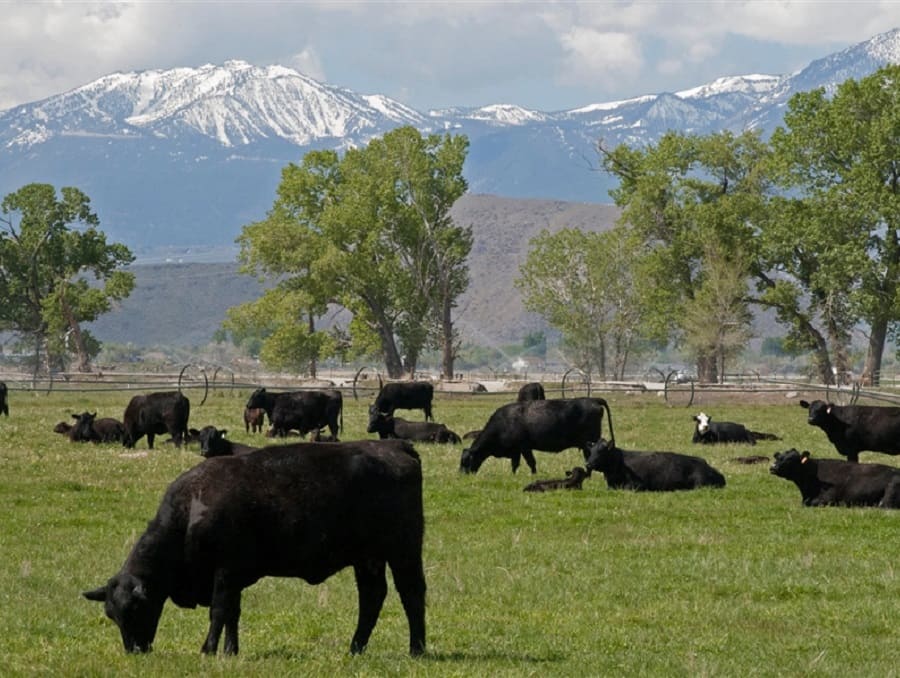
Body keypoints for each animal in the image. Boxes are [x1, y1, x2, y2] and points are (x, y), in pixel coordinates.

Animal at [82, 440, 428, 660]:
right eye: (112, 614)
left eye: (135, 608)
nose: (134, 650)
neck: (192, 506)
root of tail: (396, 446)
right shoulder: (233, 577)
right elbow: (233, 614)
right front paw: (230, 651)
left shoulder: (225, 572)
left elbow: (219, 611)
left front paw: (208, 650)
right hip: (368, 558)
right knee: (372, 597)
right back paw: (355, 648)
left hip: (404, 551)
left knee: (411, 593)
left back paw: (417, 649)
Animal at [460, 396, 616, 476]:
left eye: (465, 461)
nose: (461, 475)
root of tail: (592, 400)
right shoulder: (521, 450)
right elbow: (524, 463)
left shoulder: (521, 448)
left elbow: (525, 463)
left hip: (589, 443)